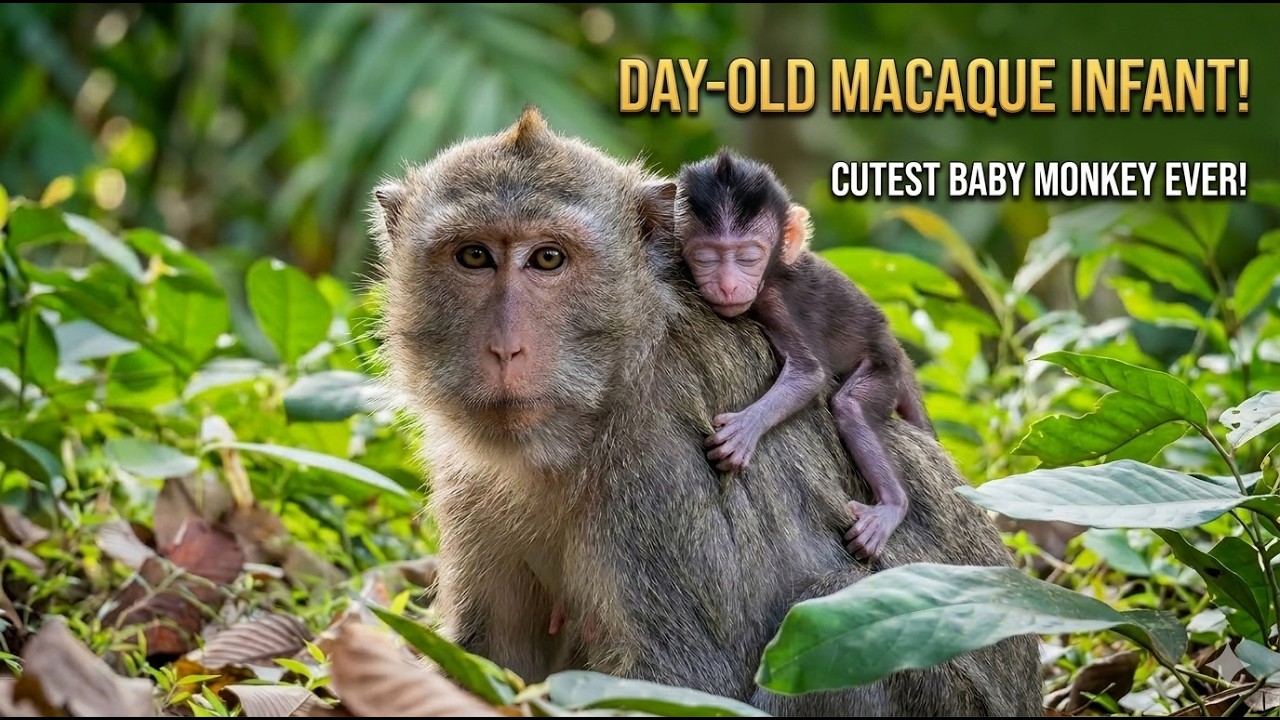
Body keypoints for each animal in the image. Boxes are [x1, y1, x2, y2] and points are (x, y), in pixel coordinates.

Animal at [676, 150, 934, 561]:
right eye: (705, 258)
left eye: (748, 257)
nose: (728, 286)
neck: (775, 271)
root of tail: (893, 346)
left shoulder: (777, 301)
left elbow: (810, 374)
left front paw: (744, 429)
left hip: (883, 369)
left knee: (850, 406)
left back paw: (894, 505)